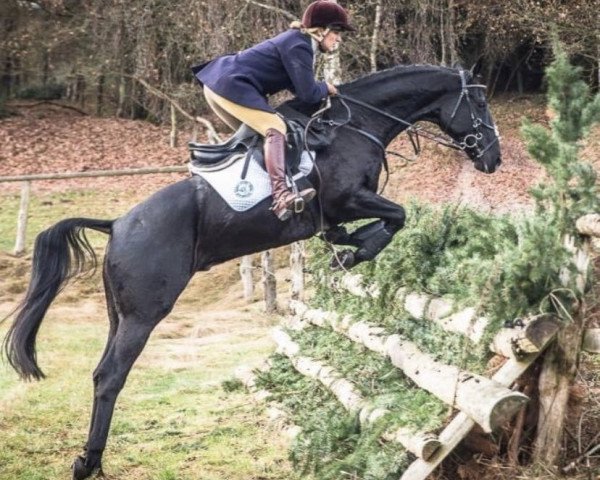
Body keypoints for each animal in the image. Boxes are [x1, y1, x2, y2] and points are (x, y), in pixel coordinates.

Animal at [2, 64, 500, 480]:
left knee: (100, 372)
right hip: (144, 314)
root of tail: (117, 223)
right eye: (479, 103)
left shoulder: (341, 210)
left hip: (118, 314)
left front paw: (348, 246)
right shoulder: (348, 199)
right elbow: (396, 216)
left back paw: (92, 459)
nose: (493, 160)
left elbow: (372, 224)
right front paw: (356, 252)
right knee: (110, 376)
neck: (357, 125)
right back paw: (89, 462)